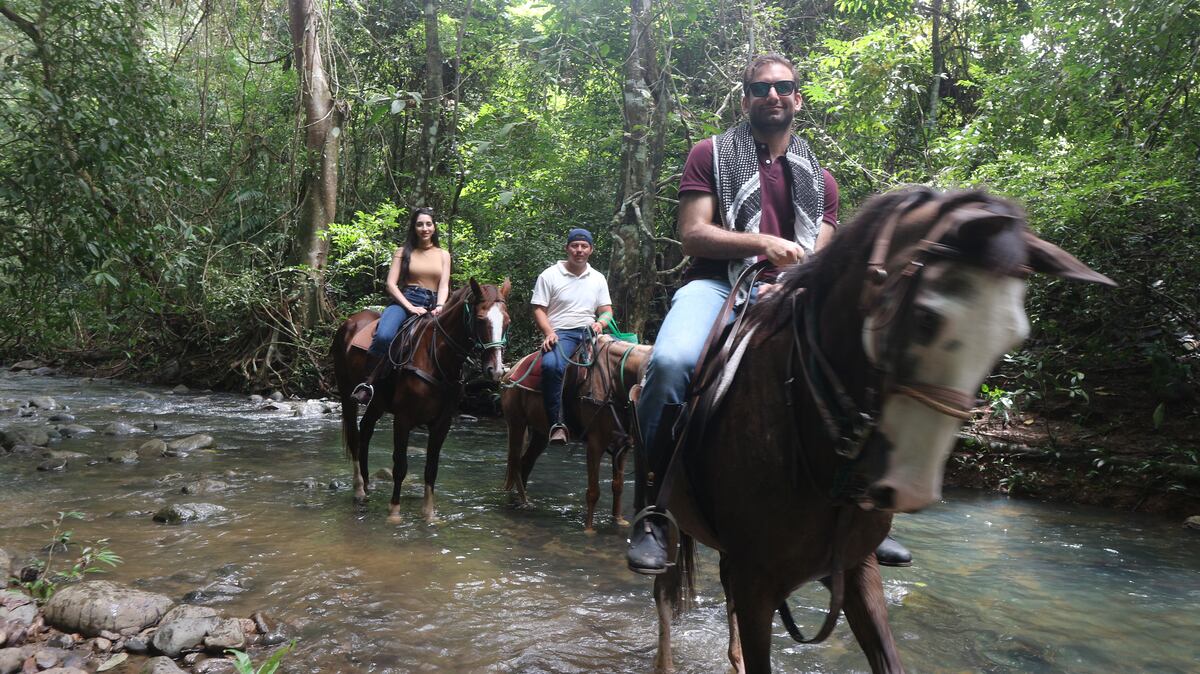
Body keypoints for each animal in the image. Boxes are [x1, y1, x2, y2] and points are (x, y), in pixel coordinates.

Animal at [333, 277, 511, 520]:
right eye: (481, 319)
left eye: (508, 321)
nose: (496, 370)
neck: (436, 357)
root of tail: (350, 321)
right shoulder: (403, 419)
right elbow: (400, 466)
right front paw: (394, 513)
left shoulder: (442, 423)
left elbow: (431, 469)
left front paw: (429, 515)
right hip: (347, 395)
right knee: (354, 436)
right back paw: (359, 489)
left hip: (377, 403)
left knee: (366, 430)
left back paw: (368, 484)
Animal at [496, 333, 648, 527]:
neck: (613, 380)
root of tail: (510, 372)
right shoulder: (595, 444)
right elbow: (593, 492)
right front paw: (589, 529)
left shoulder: (622, 446)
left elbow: (618, 486)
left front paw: (618, 521)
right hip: (516, 424)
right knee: (515, 465)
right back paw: (524, 503)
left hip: (540, 433)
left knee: (525, 464)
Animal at [648, 185, 1113, 666]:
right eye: (927, 317)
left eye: (1012, 338)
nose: (910, 489)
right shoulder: (755, 581)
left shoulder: (856, 568)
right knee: (663, 595)